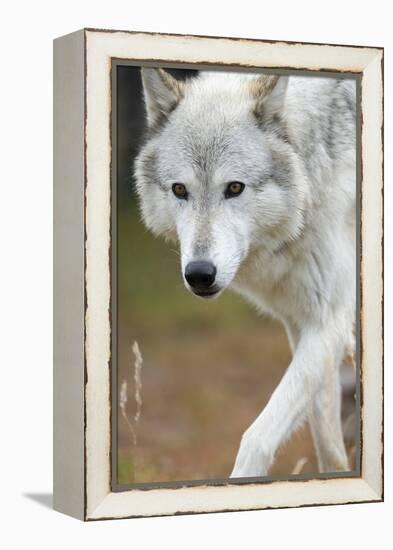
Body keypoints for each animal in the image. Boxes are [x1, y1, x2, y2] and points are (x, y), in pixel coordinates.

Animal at [134, 66, 356, 478]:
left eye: (234, 187)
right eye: (180, 190)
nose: (199, 274)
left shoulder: (332, 322)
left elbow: (257, 436)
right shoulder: (305, 324)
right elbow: (328, 444)